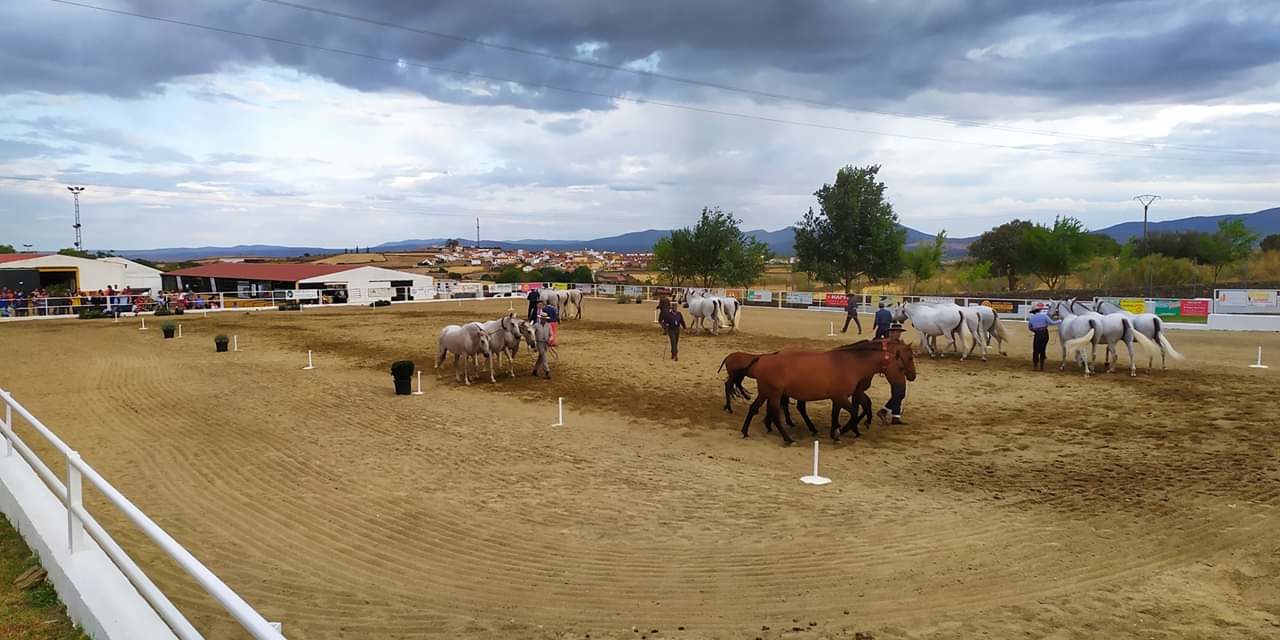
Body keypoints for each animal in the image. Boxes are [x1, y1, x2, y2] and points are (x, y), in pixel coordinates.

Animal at [747, 340, 916, 445]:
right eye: (908, 358)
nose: (912, 376)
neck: (851, 363)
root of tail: (770, 357)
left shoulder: (839, 397)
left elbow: (838, 413)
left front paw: (837, 432)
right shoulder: (847, 395)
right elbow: (855, 411)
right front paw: (844, 431)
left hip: (774, 393)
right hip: (777, 393)